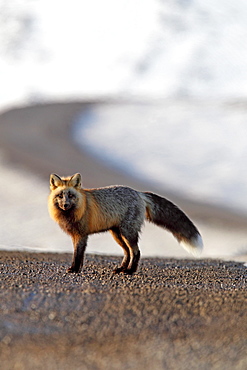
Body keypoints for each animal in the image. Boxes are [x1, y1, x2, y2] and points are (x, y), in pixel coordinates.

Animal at [48, 172, 203, 274]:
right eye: (60, 196)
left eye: (71, 195)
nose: (65, 205)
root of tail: (138, 193)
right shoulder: (77, 235)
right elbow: (78, 256)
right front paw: (77, 269)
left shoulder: (81, 235)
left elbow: (78, 255)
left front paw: (74, 269)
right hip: (117, 234)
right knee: (128, 252)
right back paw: (122, 268)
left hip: (128, 233)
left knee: (136, 252)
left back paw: (130, 271)